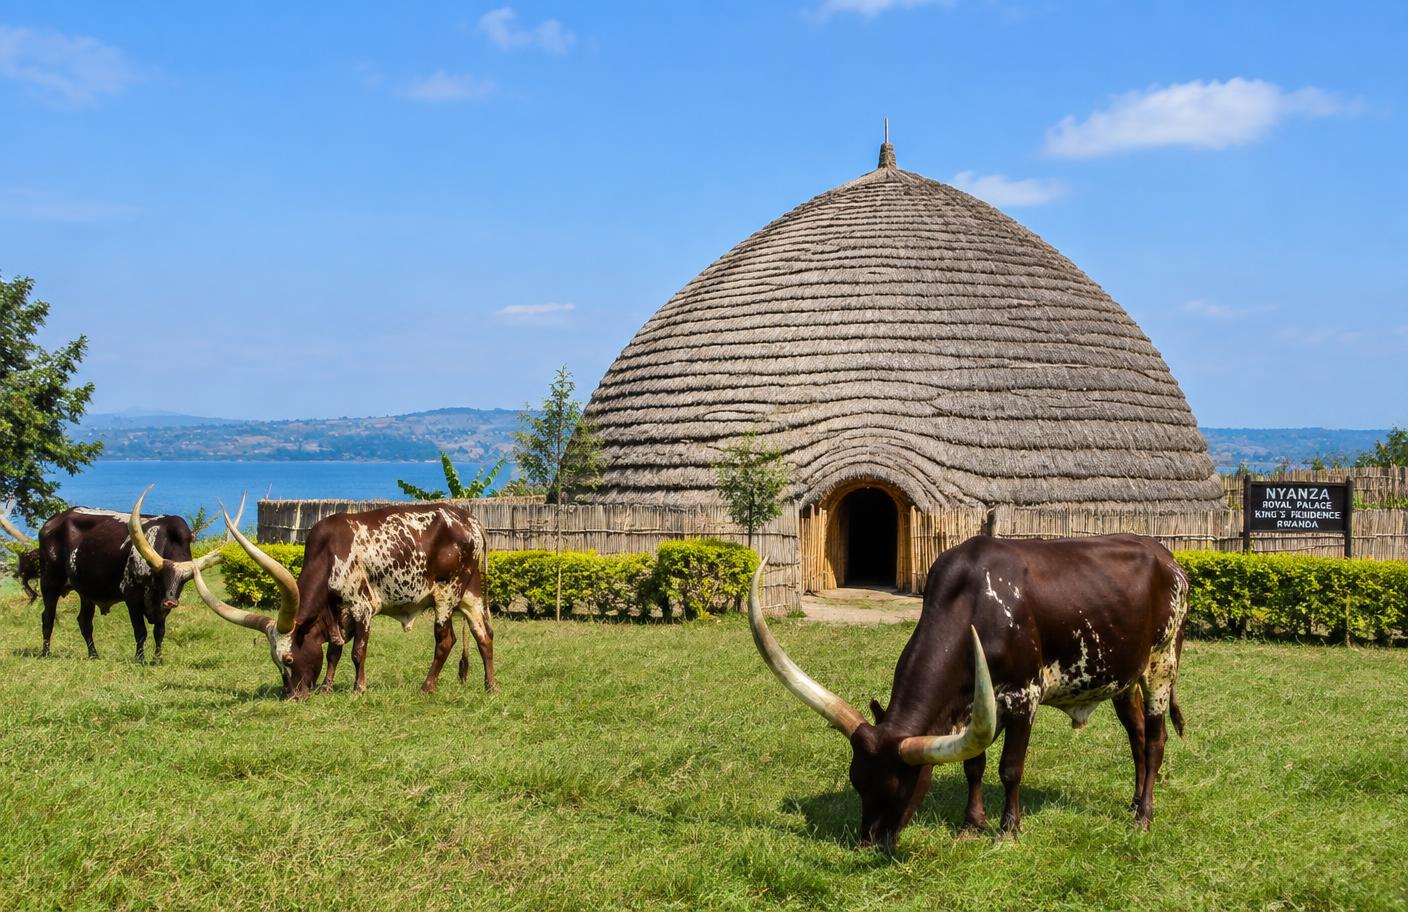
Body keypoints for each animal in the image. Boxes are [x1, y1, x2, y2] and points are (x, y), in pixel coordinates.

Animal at [16, 487, 241, 661]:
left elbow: (159, 632)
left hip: (86, 591)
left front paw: (157, 659)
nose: (171, 602)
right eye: (160, 576)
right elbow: (140, 631)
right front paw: (140, 659)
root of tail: (51, 522)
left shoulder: (160, 607)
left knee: (84, 621)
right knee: (48, 617)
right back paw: (46, 653)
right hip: (50, 583)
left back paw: (93, 655)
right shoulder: (132, 598)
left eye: (184, 580)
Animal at [190, 502, 496, 699]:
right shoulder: (337, 614)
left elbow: (357, 652)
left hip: (446, 594)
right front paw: (327, 687)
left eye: (288, 658)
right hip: (470, 596)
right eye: (275, 662)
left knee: (445, 640)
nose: (291, 696)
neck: (328, 553)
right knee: (484, 635)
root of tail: (471, 521)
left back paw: (427, 687)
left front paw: (358, 689)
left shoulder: (362, 608)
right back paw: (491, 686)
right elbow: (333, 652)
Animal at [749, 533, 1189, 852]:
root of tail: (1167, 558)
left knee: (1155, 740)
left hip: (1162, 663)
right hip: (1125, 679)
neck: (972, 604)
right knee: (1136, 737)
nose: (868, 843)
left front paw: (1008, 832)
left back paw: (1143, 817)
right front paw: (971, 824)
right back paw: (1133, 802)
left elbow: (1010, 768)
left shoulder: (1024, 698)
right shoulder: (973, 708)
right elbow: (972, 766)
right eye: (857, 782)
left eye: (901, 786)